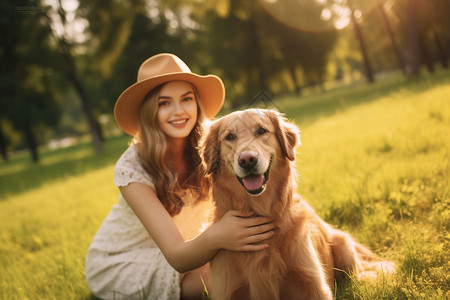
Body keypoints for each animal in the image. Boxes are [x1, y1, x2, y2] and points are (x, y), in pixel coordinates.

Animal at [200, 109, 394, 300]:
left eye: (262, 130)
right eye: (229, 136)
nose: (247, 160)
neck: (261, 208)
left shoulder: (313, 284)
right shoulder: (227, 290)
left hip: (343, 245)